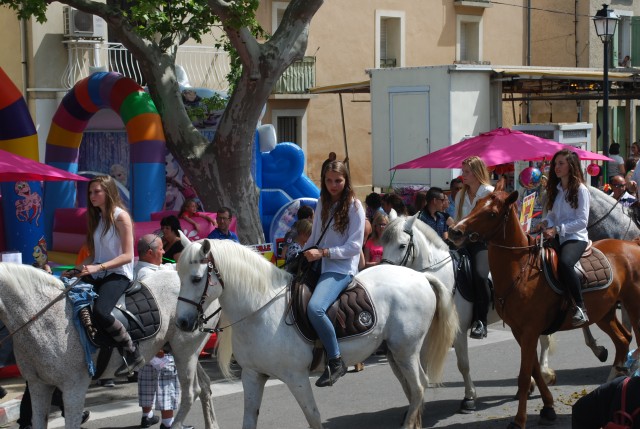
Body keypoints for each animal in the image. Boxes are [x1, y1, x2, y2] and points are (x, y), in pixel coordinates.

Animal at [0, 264, 218, 428]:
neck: (43, 317)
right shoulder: (38, 386)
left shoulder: (73, 388)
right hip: (185, 351)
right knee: (205, 387)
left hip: (185, 351)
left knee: (191, 392)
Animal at [172, 237, 458, 428]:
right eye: (177, 275)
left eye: (196, 278)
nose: (182, 323)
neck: (260, 309)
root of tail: (420, 277)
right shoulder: (252, 376)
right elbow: (249, 419)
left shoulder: (296, 377)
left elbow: (312, 415)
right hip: (395, 353)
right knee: (413, 388)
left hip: (406, 350)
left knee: (419, 387)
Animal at [380, 214, 556, 412]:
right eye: (383, 243)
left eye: (402, 245)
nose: (384, 272)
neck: (441, 276)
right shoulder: (424, 334)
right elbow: (422, 366)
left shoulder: (459, 331)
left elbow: (463, 364)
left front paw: (469, 398)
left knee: (544, 341)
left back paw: (545, 375)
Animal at [450, 185, 640, 428]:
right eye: (477, 204)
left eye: (491, 213)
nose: (455, 231)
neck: (521, 269)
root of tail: (633, 244)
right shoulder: (519, 331)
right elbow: (534, 370)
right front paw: (548, 407)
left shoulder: (530, 331)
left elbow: (524, 376)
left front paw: (519, 420)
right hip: (604, 313)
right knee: (623, 339)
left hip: (633, 307)